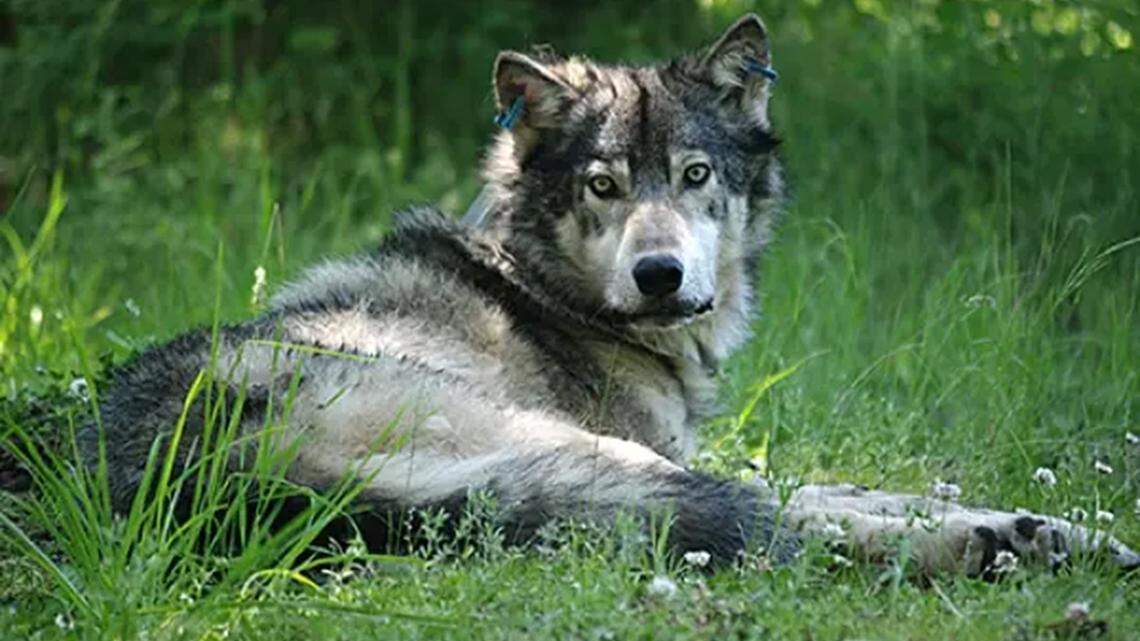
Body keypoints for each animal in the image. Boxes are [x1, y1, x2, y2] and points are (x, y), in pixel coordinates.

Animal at [81, 14, 1138, 575]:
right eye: (603, 185)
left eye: (696, 175)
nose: (659, 274)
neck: (544, 291)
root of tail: (200, 477)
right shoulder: (651, 449)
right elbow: (824, 497)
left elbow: (862, 482)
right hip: (564, 450)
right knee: (778, 526)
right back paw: (1003, 548)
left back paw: (1035, 536)